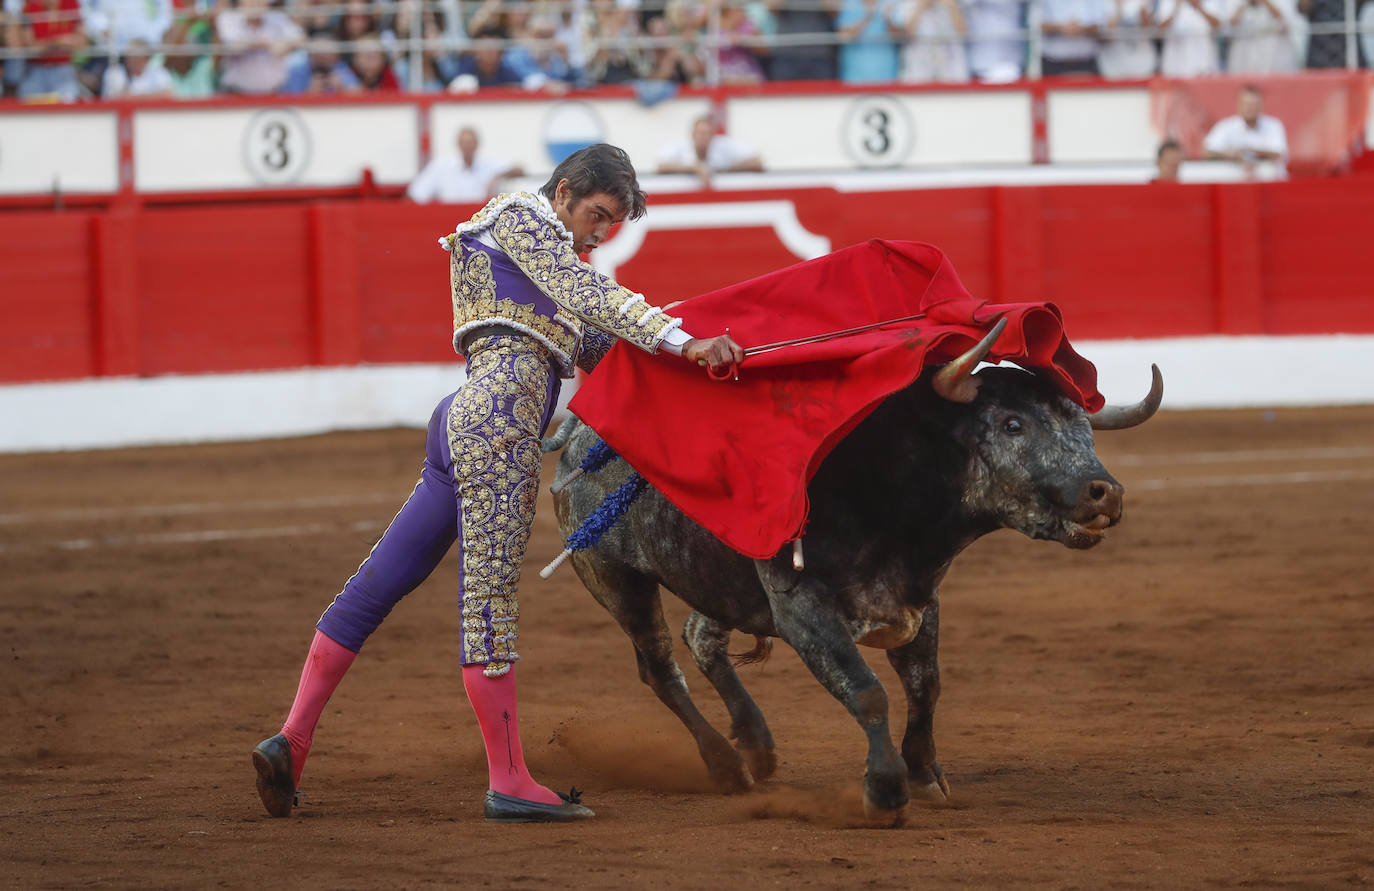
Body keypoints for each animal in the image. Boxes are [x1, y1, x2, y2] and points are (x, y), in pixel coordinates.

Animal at [541, 327, 1165, 819]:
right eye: (1012, 425)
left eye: (1083, 427)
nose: (1105, 492)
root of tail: (578, 436)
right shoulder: (802, 609)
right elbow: (867, 692)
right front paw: (885, 792)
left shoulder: (918, 600)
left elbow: (925, 686)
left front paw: (927, 777)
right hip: (615, 578)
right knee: (660, 668)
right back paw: (726, 766)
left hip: (721, 583)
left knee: (700, 638)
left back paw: (758, 746)